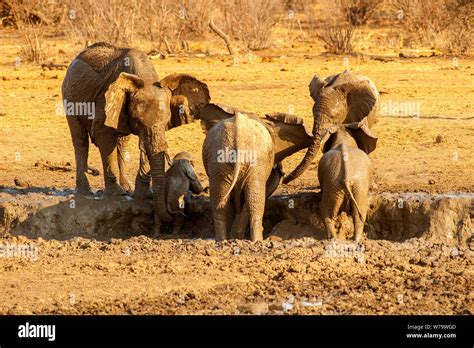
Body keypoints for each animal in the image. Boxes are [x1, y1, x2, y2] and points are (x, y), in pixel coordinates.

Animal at [62, 42, 210, 234]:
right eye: (139, 122)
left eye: (166, 123)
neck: (145, 79)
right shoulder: (107, 99)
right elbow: (104, 136)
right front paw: (116, 194)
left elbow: (145, 146)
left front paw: (143, 196)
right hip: (69, 94)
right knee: (80, 140)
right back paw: (86, 192)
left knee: (123, 143)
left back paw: (126, 187)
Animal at [201, 102, 314, 242]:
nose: (284, 175)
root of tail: (238, 134)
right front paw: (236, 235)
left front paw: (235, 235)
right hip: (250, 158)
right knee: (255, 200)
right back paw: (257, 241)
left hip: (221, 158)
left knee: (221, 200)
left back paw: (222, 241)